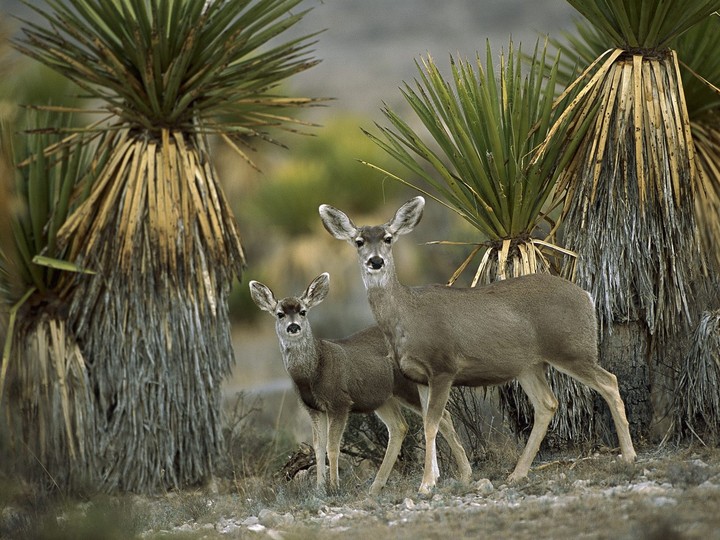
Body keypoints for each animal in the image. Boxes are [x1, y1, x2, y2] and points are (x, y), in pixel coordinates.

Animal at [249, 272, 472, 495]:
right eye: (280, 314)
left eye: (303, 311)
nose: (293, 327)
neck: (313, 371)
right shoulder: (313, 408)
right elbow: (318, 447)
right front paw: (319, 488)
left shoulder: (339, 402)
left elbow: (332, 446)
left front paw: (334, 487)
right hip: (383, 398)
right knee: (400, 426)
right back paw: (377, 486)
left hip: (408, 387)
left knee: (442, 416)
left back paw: (463, 474)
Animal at [319, 196, 637, 495]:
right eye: (359, 241)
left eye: (387, 238)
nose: (375, 261)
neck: (407, 317)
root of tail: (587, 296)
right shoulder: (418, 376)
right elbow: (436, 422)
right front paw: (438, 478)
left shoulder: (443, 366)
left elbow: (432, 423)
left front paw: (426, 483)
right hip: (529, 365)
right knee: (547, 404)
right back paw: (517, 473)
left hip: (572, 349)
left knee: (609, 382)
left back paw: (629, 456)